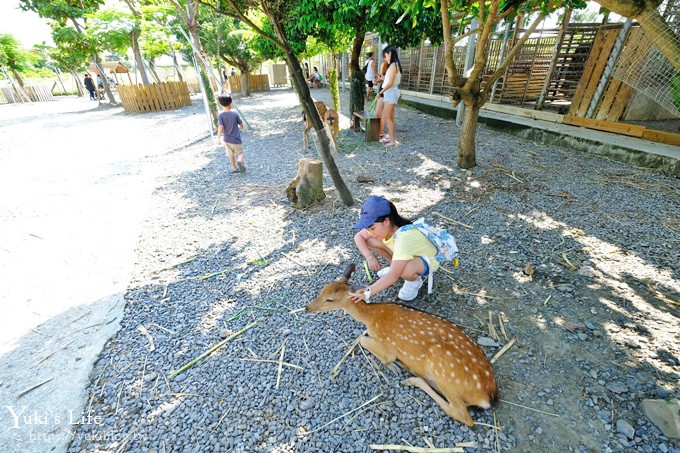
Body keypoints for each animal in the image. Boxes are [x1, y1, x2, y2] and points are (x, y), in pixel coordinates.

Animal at [306, 264, 496, 426]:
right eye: (322, 290)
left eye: (330, 300)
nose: (307, 308)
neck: (372, 318)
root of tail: (487, 396)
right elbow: (362, 337)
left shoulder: (387, 346)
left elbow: (364, 341)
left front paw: (393, 366)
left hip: (443, 368)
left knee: (462, 414)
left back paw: (411, 377)